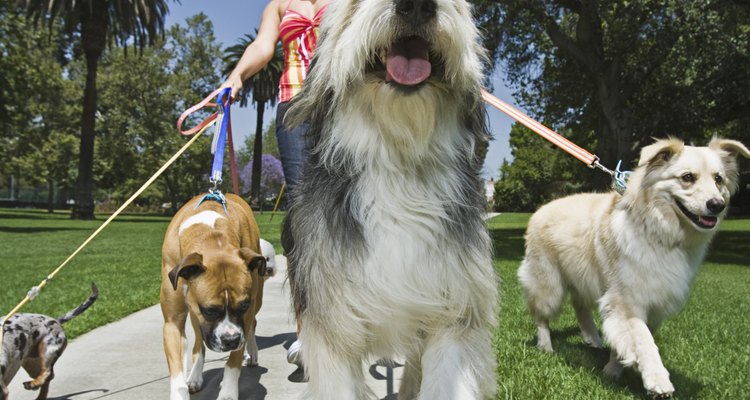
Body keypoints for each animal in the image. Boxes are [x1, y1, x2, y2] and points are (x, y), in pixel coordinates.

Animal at [161, 194, 268, 400]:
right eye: (209, 311)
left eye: (243, 306)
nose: (231, 340)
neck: (210, 235)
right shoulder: (173, 322)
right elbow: (177, 372)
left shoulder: (247, 311)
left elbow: (233, 362)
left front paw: (228, 393)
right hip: (194, 316)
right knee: (198, 344)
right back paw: (195, 375)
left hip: (258, 299)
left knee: (253, 324)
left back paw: (252, 351)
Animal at [524, 138, 750, 396]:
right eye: (687, 177)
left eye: (718, 179)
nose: (717, 205)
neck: (659, 231)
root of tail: (541, 209)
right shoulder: (628, 301)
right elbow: (643, 340)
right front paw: (657, 380)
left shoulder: (652, 304)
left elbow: (626, 340)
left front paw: (612, 370)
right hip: (548, 285)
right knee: (541, 316)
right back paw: (546, 346)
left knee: (579, 305)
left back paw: (593, 338)